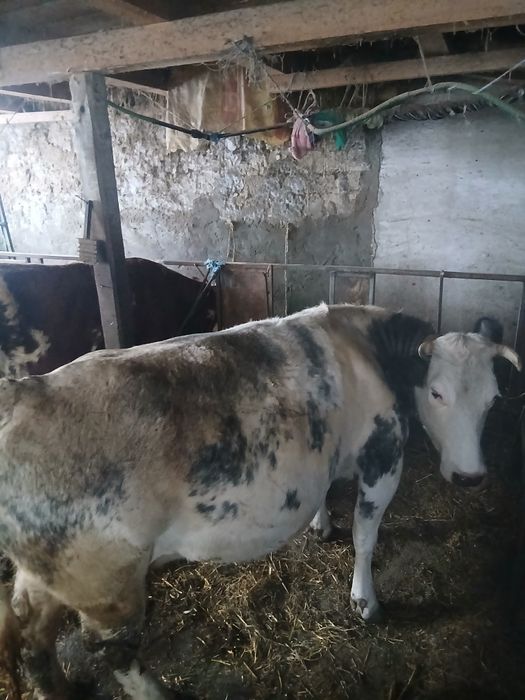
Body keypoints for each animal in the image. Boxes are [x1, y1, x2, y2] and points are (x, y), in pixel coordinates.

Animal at [0, 303, 520, 700]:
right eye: (436, 392)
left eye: (495, 399)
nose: (470, 477)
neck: (369, 351)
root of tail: (25, 392)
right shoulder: (383, 455)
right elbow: (366, 536)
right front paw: (365, 600)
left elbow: (324, 494)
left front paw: (320, 525)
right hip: (107, 586)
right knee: (112, 652)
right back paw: (157, 693)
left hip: (48, 574)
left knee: (31, 637)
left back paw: (60, 690)